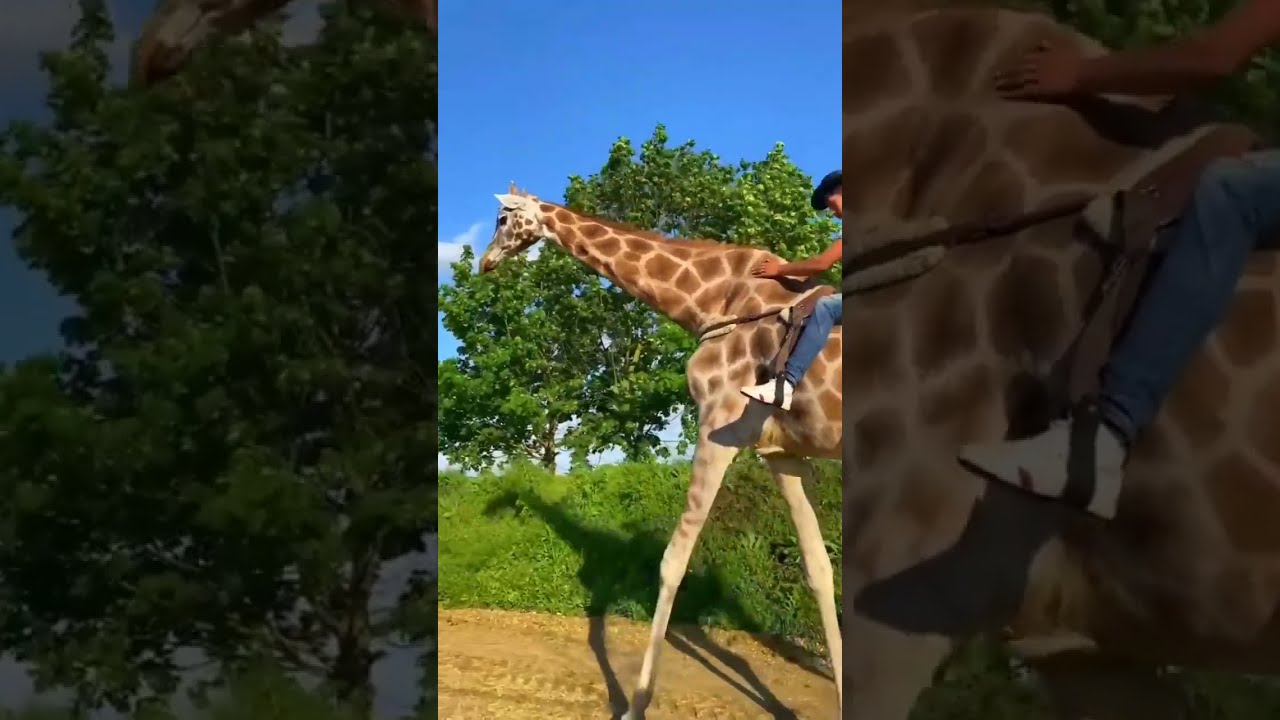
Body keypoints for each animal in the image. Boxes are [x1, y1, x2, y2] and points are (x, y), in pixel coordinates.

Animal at [477, 184, 844, 717]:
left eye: (503, 219)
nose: (485, 262)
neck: (711, 304)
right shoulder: (781, 454)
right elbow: (819, 570)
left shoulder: (718, 428)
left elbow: (672, 562)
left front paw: (636, 703)